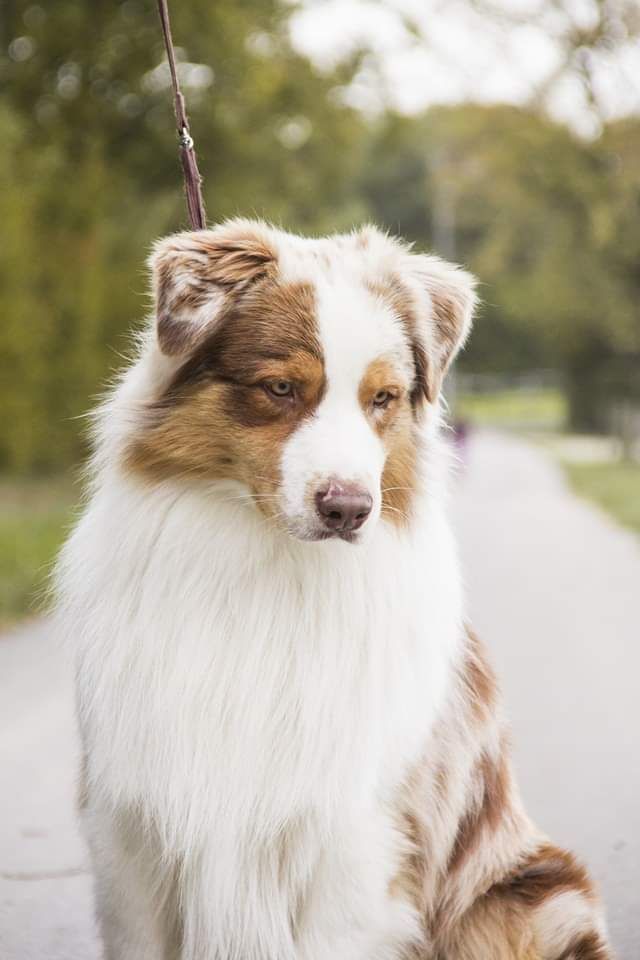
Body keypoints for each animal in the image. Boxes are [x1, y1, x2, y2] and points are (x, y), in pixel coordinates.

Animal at [55, 221, 608, 956]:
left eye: (383, 398)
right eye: (281, 388)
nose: (348, 509)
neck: (268, 570)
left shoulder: (353, 845)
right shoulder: (132, 834)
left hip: (534, 895)